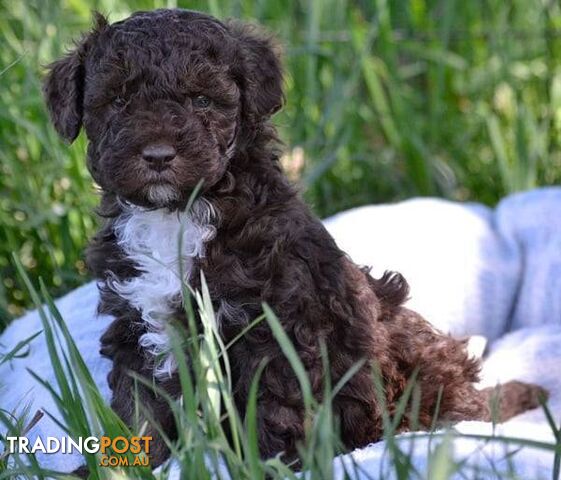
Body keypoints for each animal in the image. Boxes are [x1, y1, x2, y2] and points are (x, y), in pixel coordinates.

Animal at [44, 8, 548, 468]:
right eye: (119, 100)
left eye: (202, 101)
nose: (157, 155)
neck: (178, 214)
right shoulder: (137, 325)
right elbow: (139, 412)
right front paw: (119, 468)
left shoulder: (277, 331)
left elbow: (271, 409)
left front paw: (265, 466)